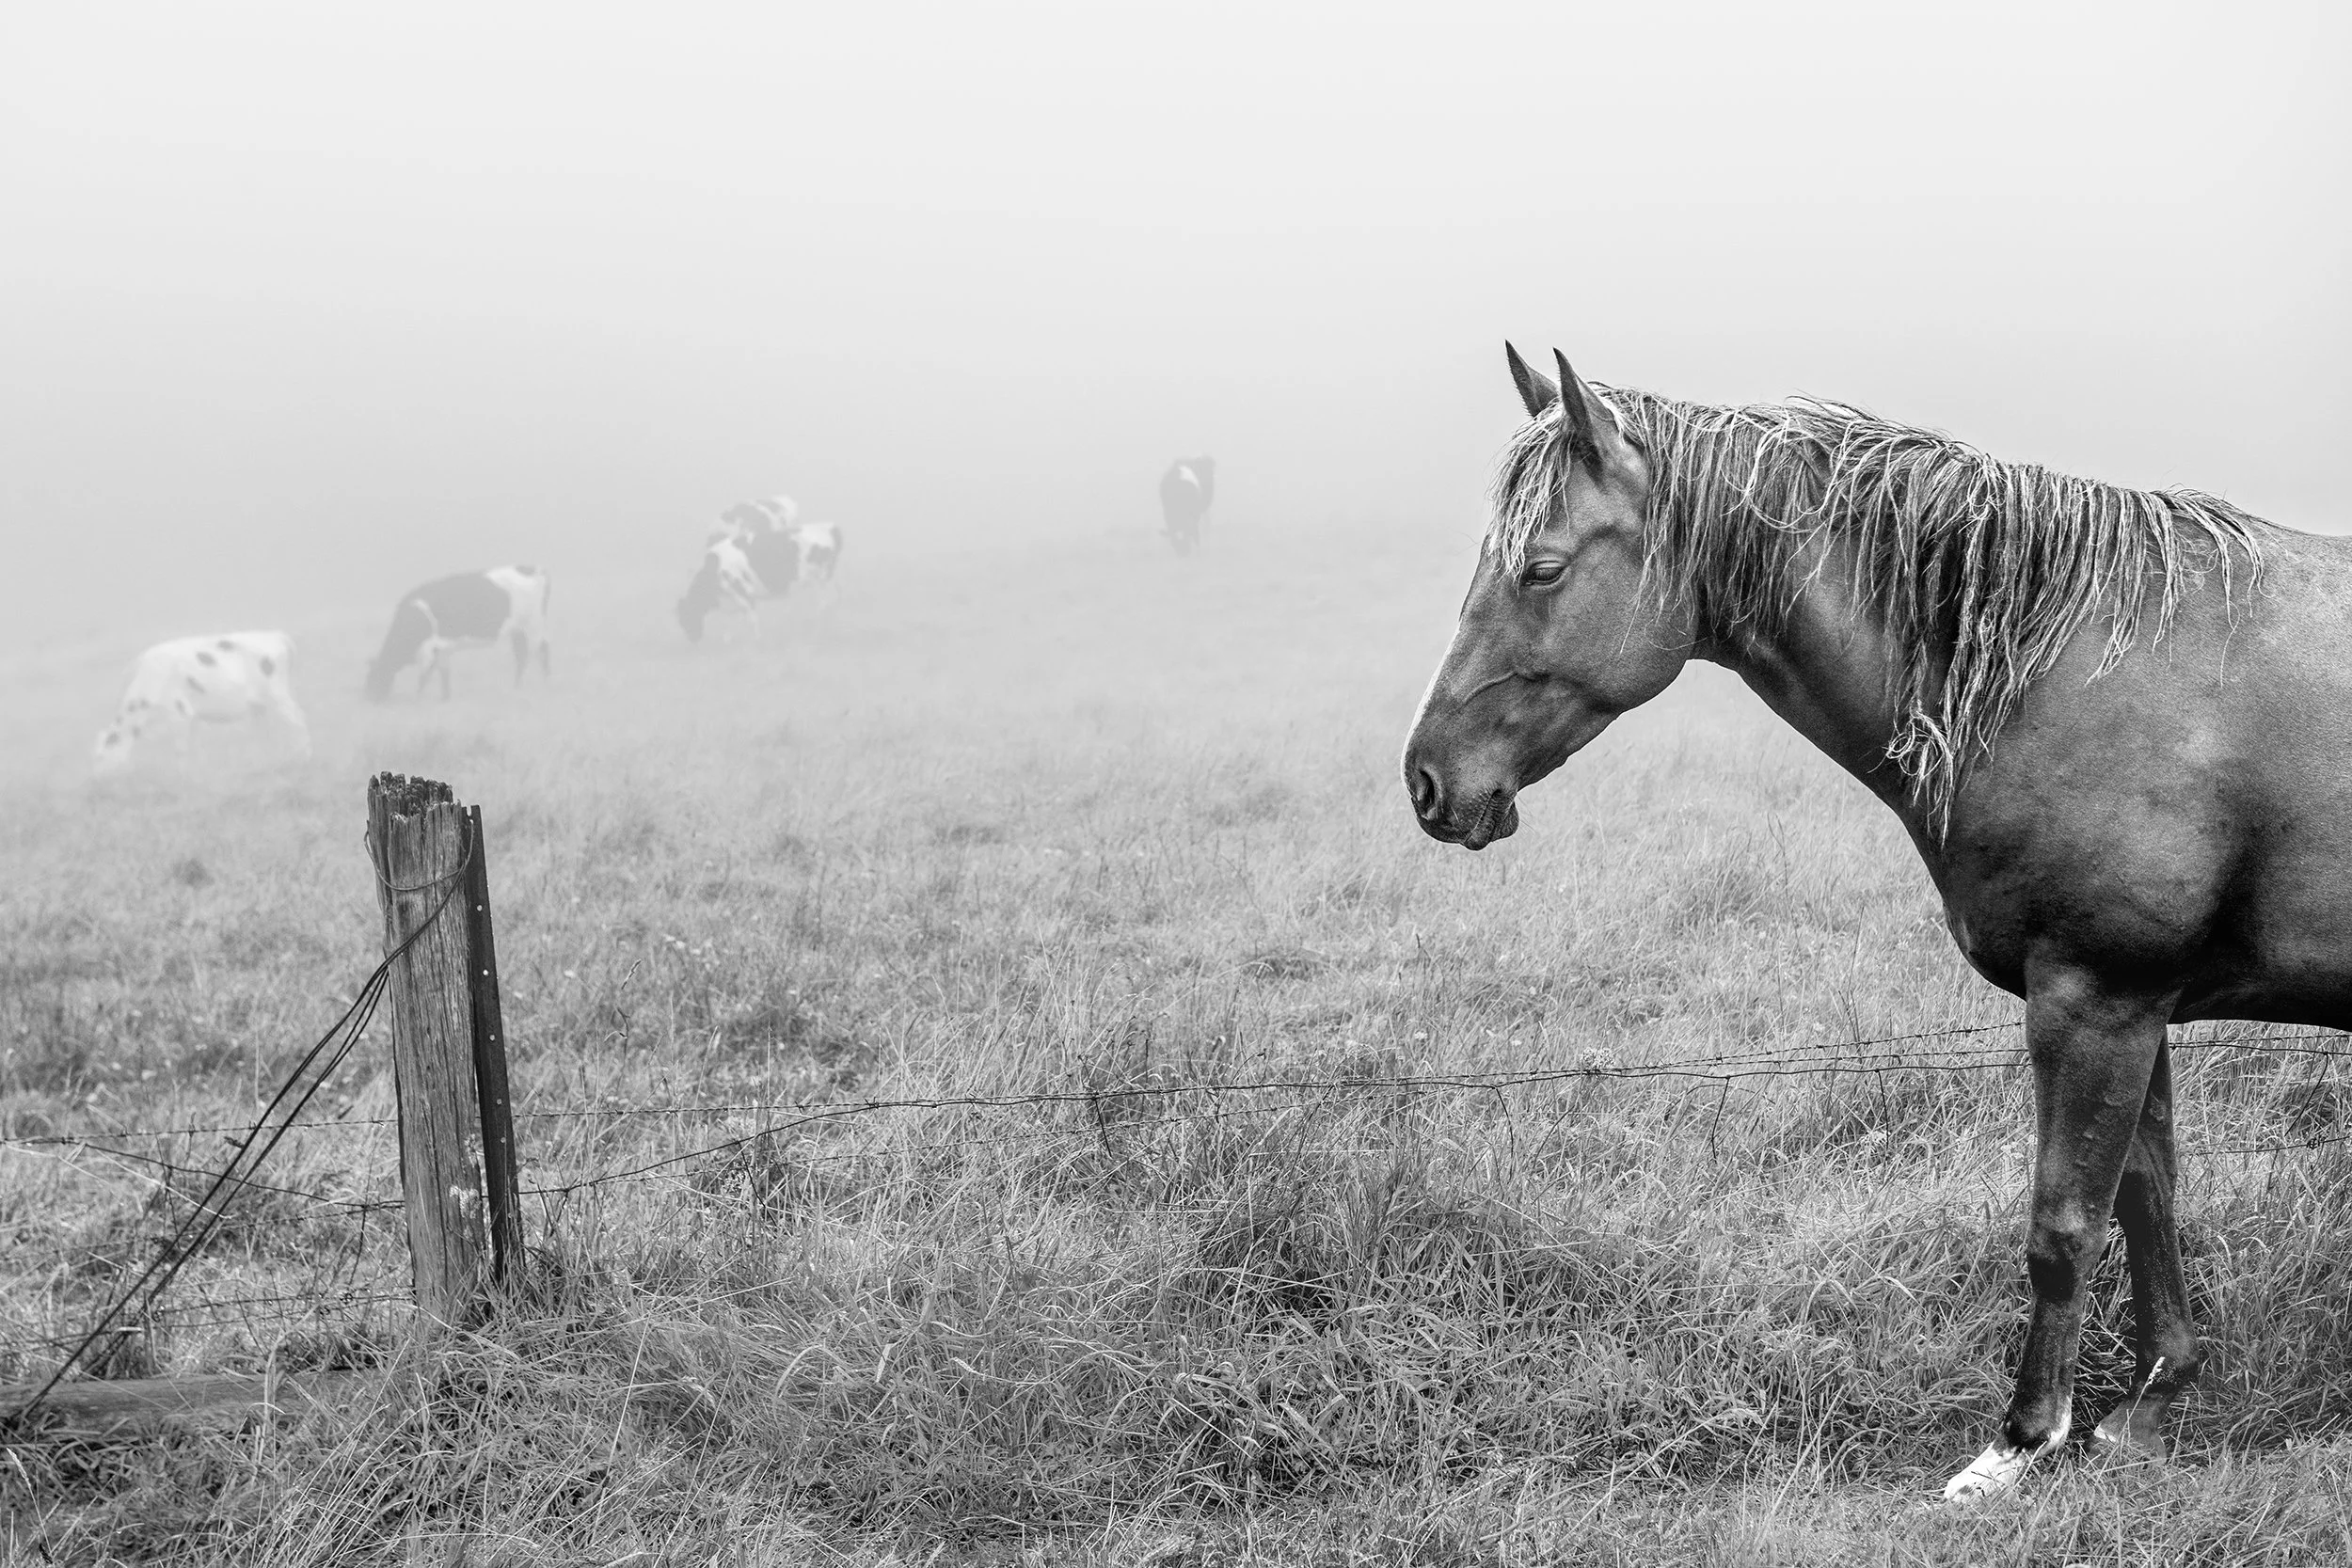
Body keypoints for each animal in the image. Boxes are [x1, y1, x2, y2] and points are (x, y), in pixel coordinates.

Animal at [1402, 342, 2345, 1501]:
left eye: (1539, 568)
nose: (1428, 781)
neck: (2067, 668)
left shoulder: (2096, 1002)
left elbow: (2063, 1226)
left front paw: (2020, 1440)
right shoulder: (2138, 1009)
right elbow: (2146, 1197)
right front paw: (2154, 1401)